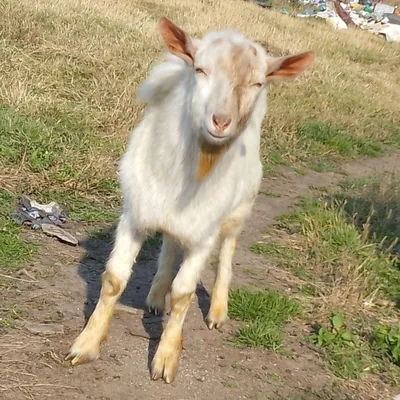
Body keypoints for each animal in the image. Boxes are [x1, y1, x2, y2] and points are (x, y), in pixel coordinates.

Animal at [66, 17, 316, 382]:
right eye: (200, 69)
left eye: (258, 82)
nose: (221, 121)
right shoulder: (134, 215)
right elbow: (114, 278)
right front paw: (86, 344)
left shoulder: (203, 236)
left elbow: (184, 293)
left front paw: (166, 358)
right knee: (170, 244)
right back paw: (156, 296)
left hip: (238, 212)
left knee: (226, 253)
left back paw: (217, 310)